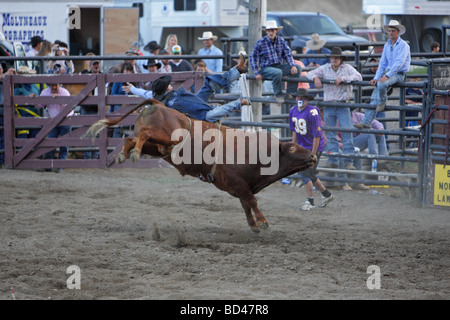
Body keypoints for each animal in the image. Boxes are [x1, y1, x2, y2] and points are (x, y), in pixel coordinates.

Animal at [84, 99, 316, 232]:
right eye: (292, 149)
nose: (313, 156)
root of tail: (160, 105)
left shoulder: (237, 187)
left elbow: (246, 204)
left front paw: (253, 225)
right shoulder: (240, 184)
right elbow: (252, 201)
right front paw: (263, 222)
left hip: (160, 146)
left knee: (132, 138)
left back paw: (126, 153)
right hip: (168, 137)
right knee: (143, 134)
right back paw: (130, 153)